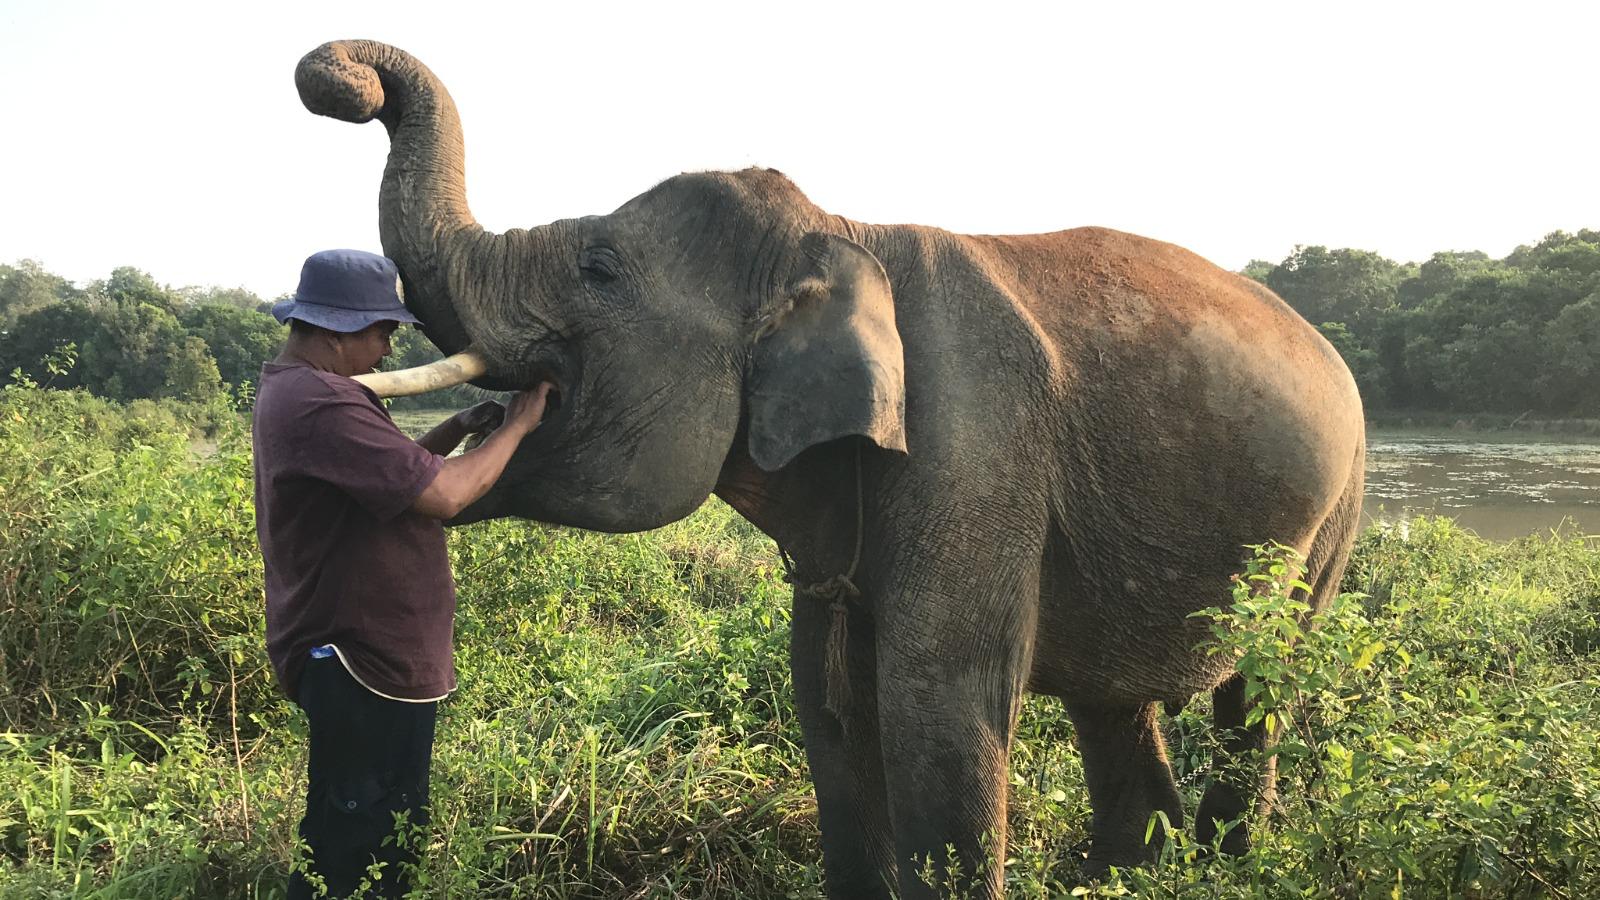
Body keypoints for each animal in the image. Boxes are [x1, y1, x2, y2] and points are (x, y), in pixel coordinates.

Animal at [295, 40, 1366, 898]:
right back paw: (1130, 874)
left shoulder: (975, 447)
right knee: (1116, 706)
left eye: (598, 267)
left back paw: (1229, 865)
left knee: (1259, 696)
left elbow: (937, 705)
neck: (844, 232)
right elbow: (829, 694)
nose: (339, 80)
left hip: (1331, 524)